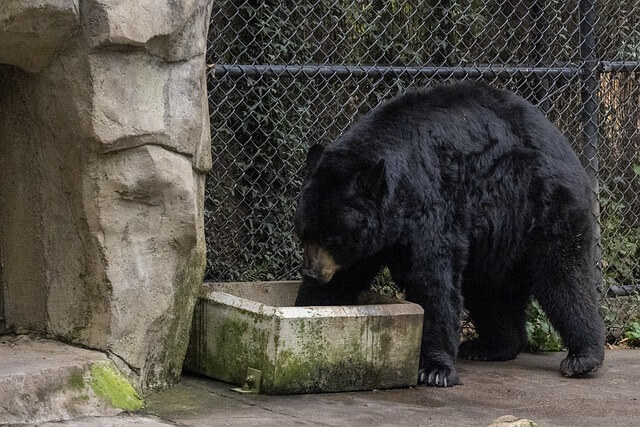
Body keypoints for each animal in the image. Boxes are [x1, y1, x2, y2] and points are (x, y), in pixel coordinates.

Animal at [296, 80, 604, 388]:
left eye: (331, 239)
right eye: (304, 234)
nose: (312, 273)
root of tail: (563, 141)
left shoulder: (432, 204)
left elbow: (431, 279)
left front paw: (435, 369)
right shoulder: (372, 238)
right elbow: (343, 278)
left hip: (542, 204)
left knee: (563, 275)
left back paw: (582, 356)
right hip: (496, 243)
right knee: (490, 292)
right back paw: (491, 346)